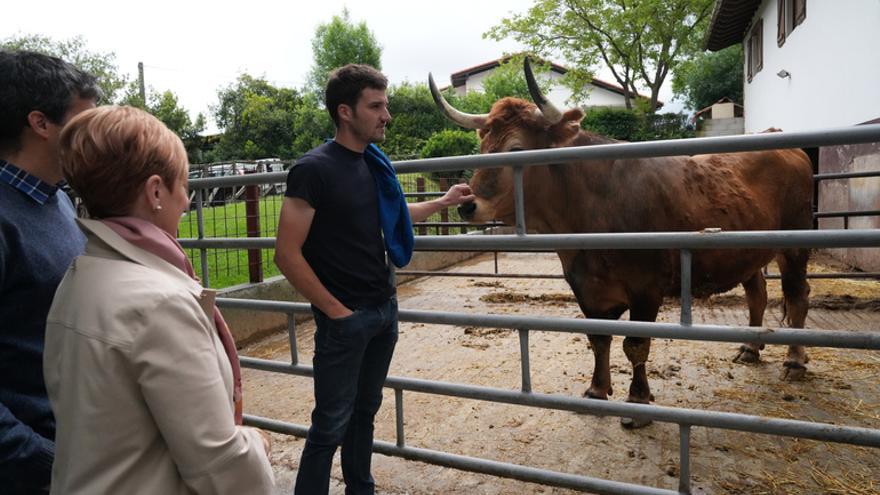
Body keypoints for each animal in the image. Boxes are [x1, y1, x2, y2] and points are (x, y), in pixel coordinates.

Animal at [426, 60, 812, 428]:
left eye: (516, 148)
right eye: (482, 147)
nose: (467, 205)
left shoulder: (647, 289)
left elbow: (636, 345)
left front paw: (638, 403)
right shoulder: (587, 287)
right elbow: (599, 339)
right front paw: (597, 391)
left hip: (795, 244)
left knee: (797, 296)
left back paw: (794, 360)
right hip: (749, 251)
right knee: (758, 293)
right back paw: (750, 347)